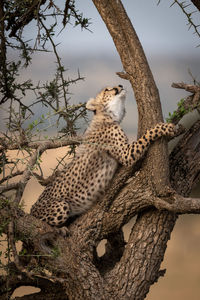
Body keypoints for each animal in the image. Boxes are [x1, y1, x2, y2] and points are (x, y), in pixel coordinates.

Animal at [30, 84, 181, 227]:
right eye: (108, 89)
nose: (120, 85)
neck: (107, 116)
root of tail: (31, 209)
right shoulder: (126, 154)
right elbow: (148, 134)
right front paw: (166, 127)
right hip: (62, 205)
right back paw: (62, 229)